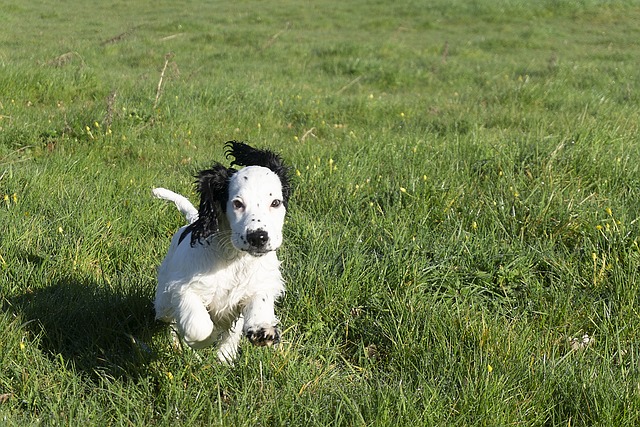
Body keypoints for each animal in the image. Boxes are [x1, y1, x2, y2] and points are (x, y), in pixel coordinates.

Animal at [154, 140, 294, 362]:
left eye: (276, 203)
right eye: (237, 203)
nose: (258, 238)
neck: (235, 258)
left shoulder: (259, 284)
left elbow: (259, 301)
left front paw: (262, 330)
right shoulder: (183, 288)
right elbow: (199, 326)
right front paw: (204, 339)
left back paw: (224, 360)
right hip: (163, 301)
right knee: (170, 319)